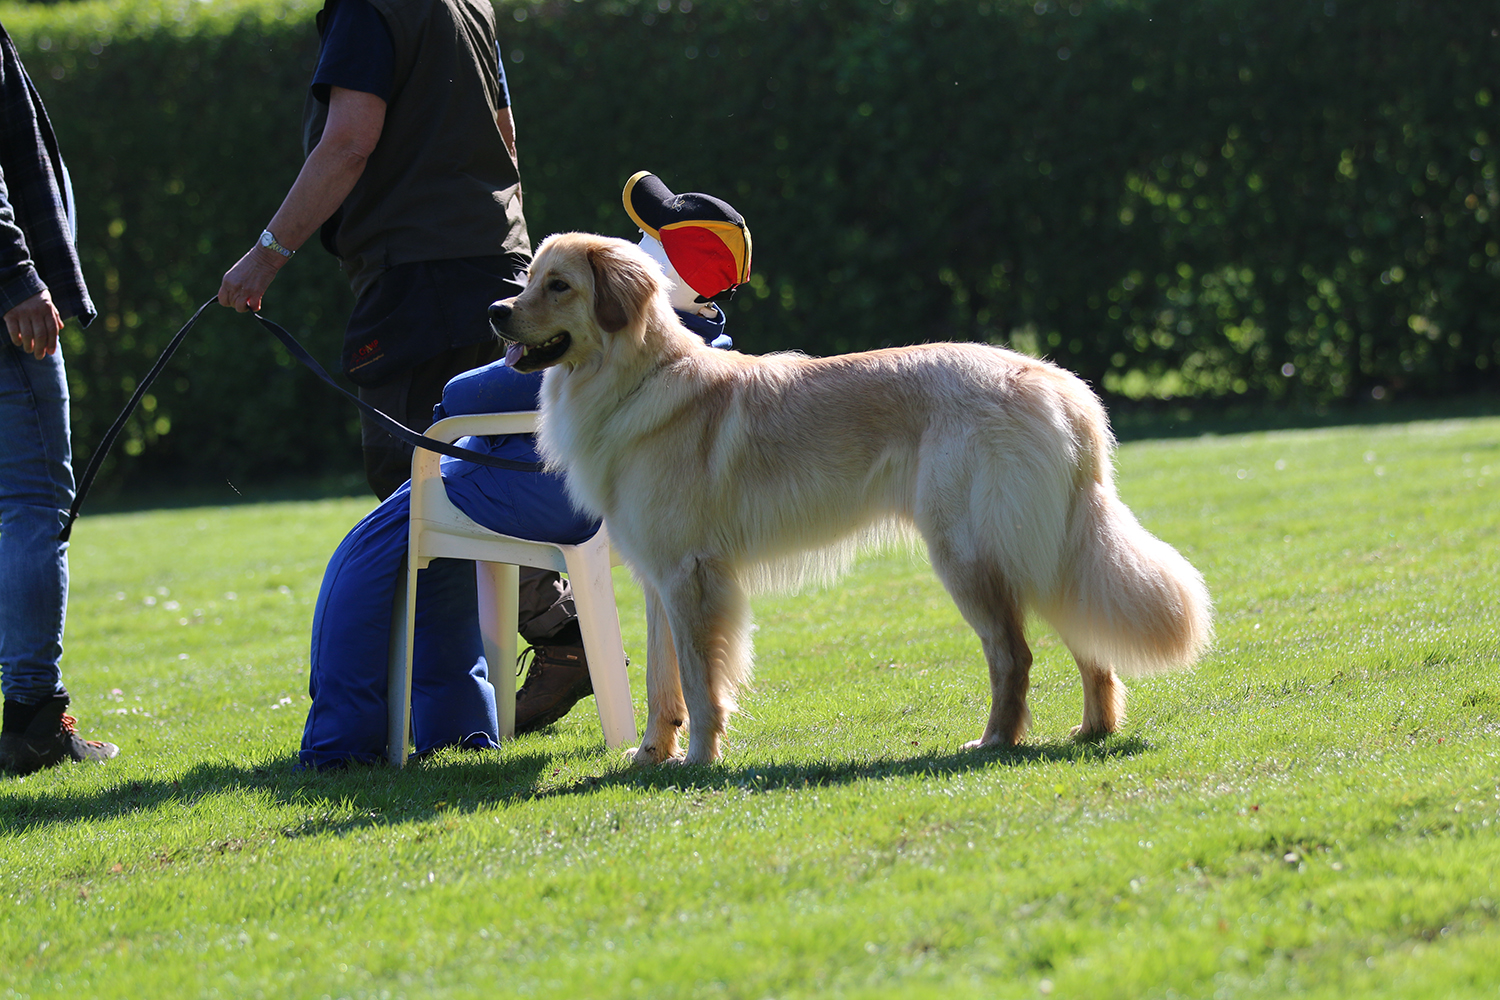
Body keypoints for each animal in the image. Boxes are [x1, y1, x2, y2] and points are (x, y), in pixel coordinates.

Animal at [489, 232, 1212, 765]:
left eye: (558, 285)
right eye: (527, 278)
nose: (495, 313)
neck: (636, 380)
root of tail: (1059, 385)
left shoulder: (690, 578)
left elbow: (698, 680)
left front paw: (697, 759)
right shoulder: (655, 582)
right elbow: (660, 681)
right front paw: (649, 756)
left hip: (967, 554)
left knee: (1014, 655)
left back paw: (994, 741)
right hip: (1039, 551)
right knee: (1084, 643)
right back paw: (1093, 730)